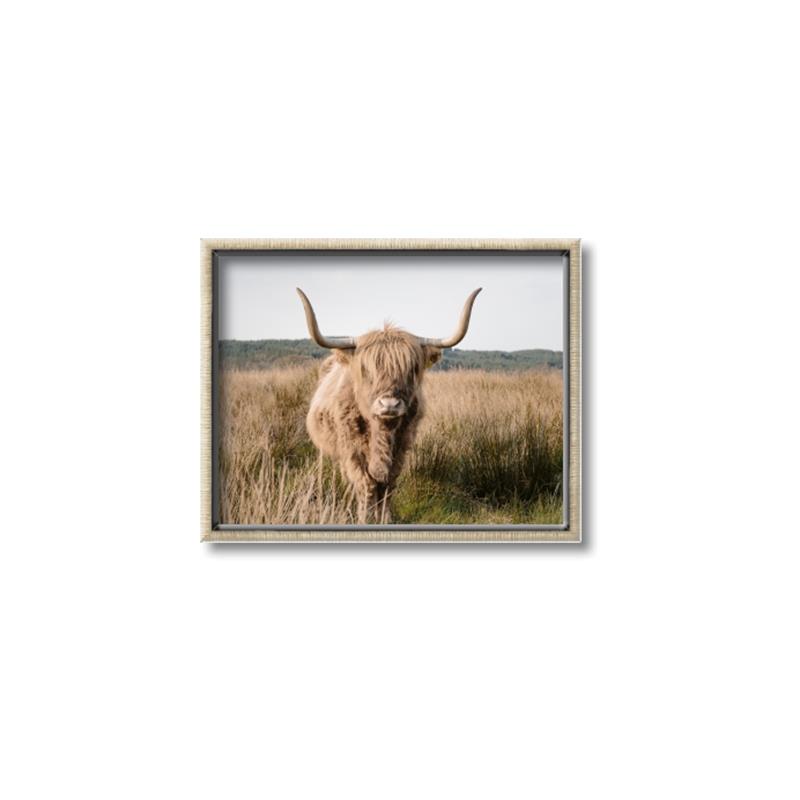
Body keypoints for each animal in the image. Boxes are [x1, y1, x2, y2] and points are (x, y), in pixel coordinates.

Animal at [296, 287, 482, 523]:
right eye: (365, 370)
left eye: (412, 369)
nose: (389, 404)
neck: (381, 434)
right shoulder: (352, 450)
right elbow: (366, 483)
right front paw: (365, 518)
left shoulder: (401, 448)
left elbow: (388, 484)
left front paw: (385, 519)